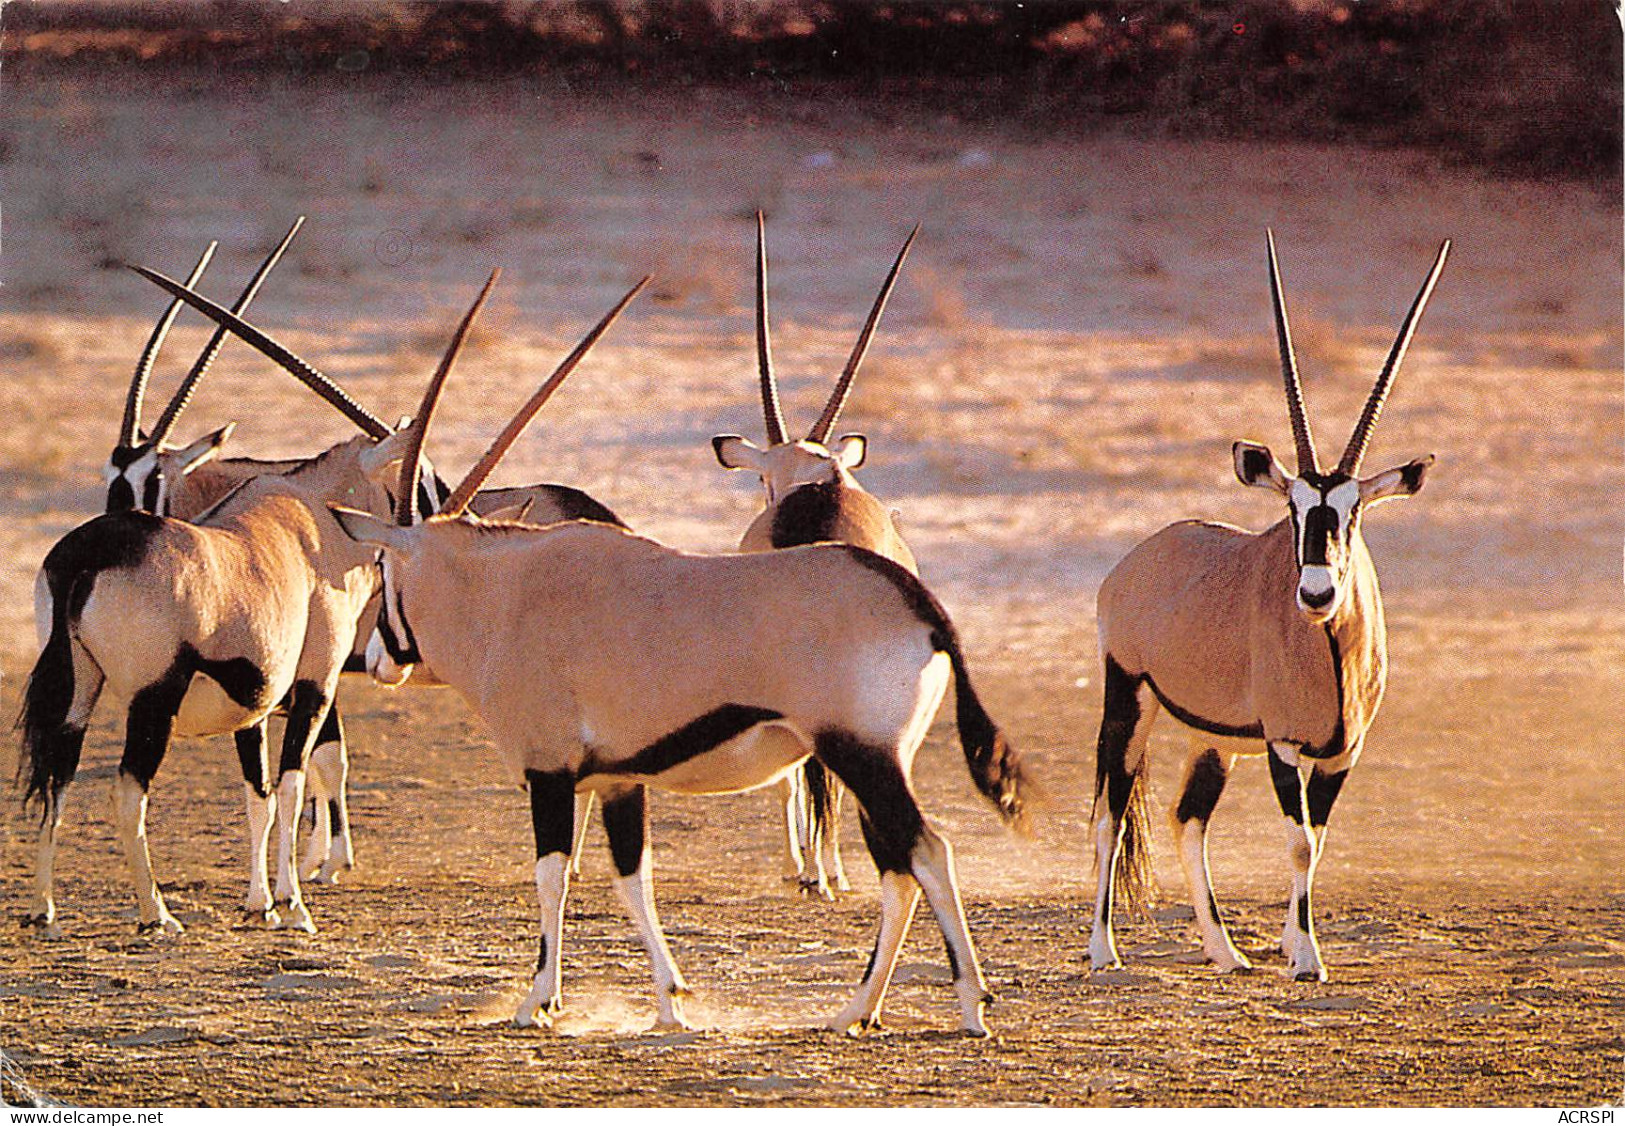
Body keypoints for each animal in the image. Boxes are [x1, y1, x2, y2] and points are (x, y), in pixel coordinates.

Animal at [17, 268, 494, 935]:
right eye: (420, 477)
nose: (448, 527)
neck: (317, 516)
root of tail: (86, 558)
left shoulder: (255, 704)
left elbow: (259, 797)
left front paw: (260, 900)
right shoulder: (314, 682)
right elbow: (294, 785)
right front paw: (294, 905)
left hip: (77, 689)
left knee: (57, 778)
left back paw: (44, 909)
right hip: (151, 698)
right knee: (127, 790)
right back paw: (156, 914)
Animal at [336, 292, 1033, 1033]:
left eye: (382, 566)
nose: (378, 658)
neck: (503, 594)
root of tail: (917, 603)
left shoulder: (549, 773)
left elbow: (551, 878)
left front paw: (538, 1001)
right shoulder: (618, 780)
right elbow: (632, 880)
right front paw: (670, 1002)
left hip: (862, 755)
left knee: (927, 853)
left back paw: (966, 1003)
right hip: (873, 761)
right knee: (899, 868)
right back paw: (858, 1009)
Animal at [1092, 232, 1449, 981]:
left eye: (1353, 513)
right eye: (1293, 511)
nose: (1315, 593)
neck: (1330, 653)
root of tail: (1137, 559)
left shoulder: (1343, 752)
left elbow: (1316, 838)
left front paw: (1291, 943)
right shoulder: (1284, 744)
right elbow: (1299, 842)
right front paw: (1307, 957)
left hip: (1213, 740)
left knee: (1186, 819)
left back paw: (1224, 951)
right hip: (1127, 701)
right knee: (1112, 814)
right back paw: (1102, 949)